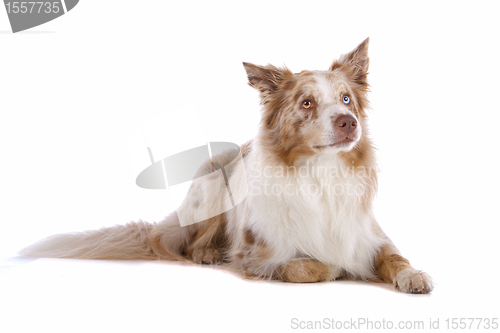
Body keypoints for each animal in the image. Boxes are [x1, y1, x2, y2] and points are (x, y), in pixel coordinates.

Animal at [20, 38, 434, 294]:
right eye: (307, 103)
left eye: (347, 98)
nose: (349, 122)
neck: (322, 174)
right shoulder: (256, 256)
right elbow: (305, 266)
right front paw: (333, 269)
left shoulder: (369, 238)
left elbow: (395, 257)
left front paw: (414, 274)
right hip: (212, 186)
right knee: (189, 244)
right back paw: (206, 252)